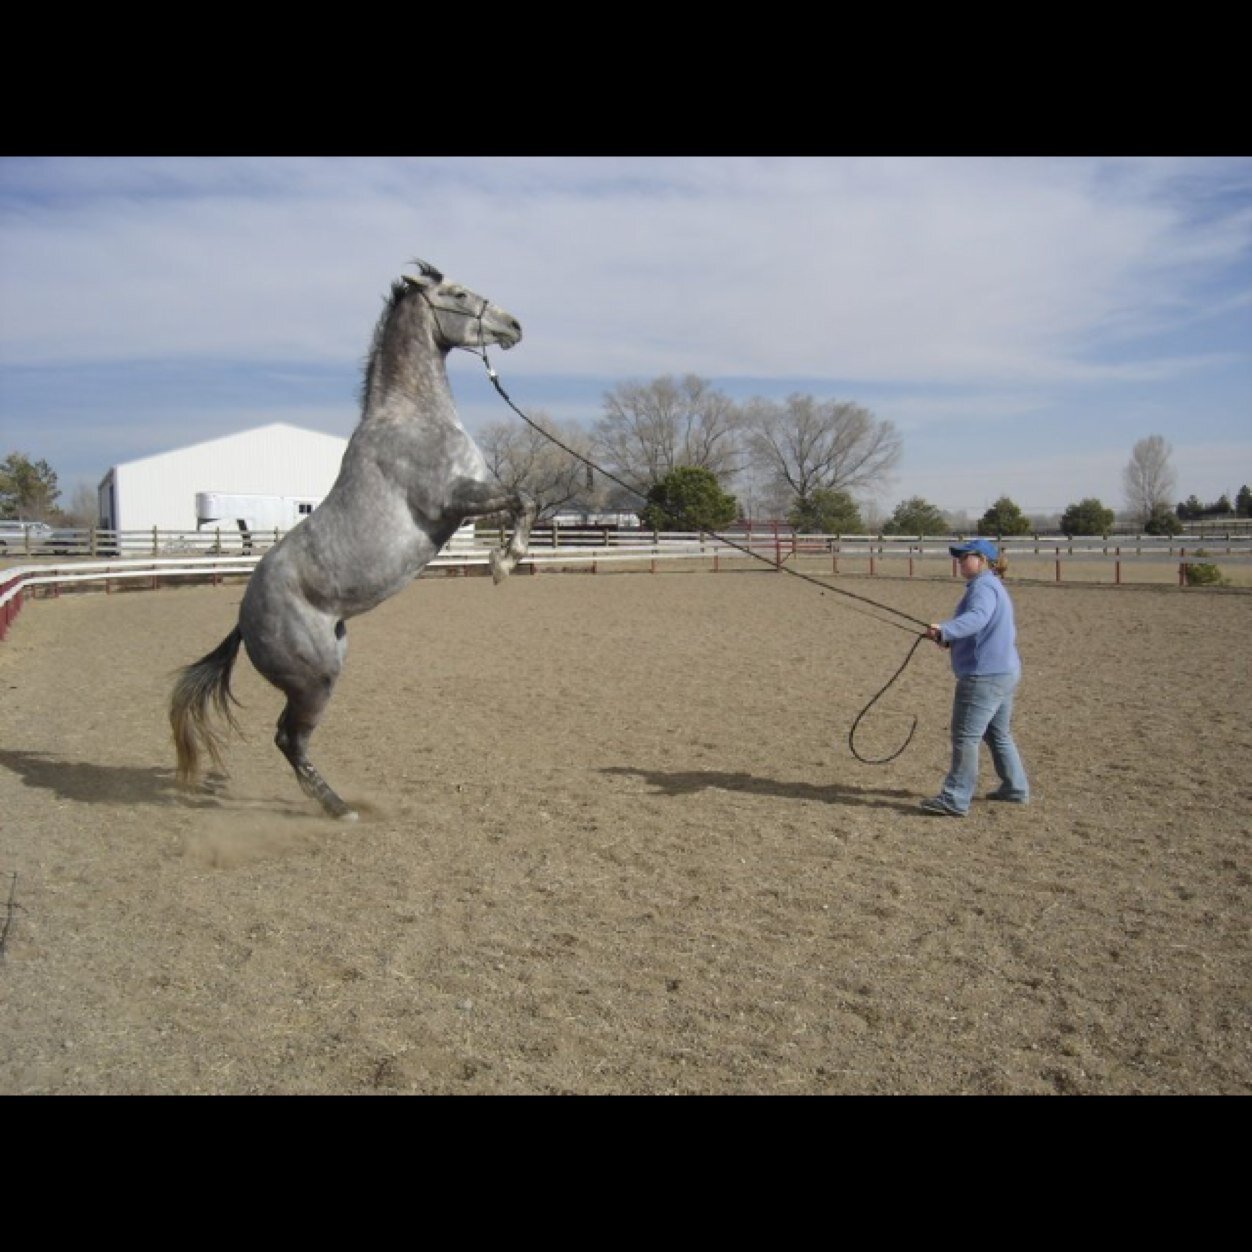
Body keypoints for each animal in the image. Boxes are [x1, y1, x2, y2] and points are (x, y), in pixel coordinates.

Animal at [170, 259, 536, 820]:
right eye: (456, 293)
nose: (513, 326)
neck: (411, 417)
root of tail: (243, 620)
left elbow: (525, 500)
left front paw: (505, 559)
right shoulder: (451, 500)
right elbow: (522, 499)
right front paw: (504, 562)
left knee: (290, 739)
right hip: (315, 680)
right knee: (288, 739)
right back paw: (340, 808)